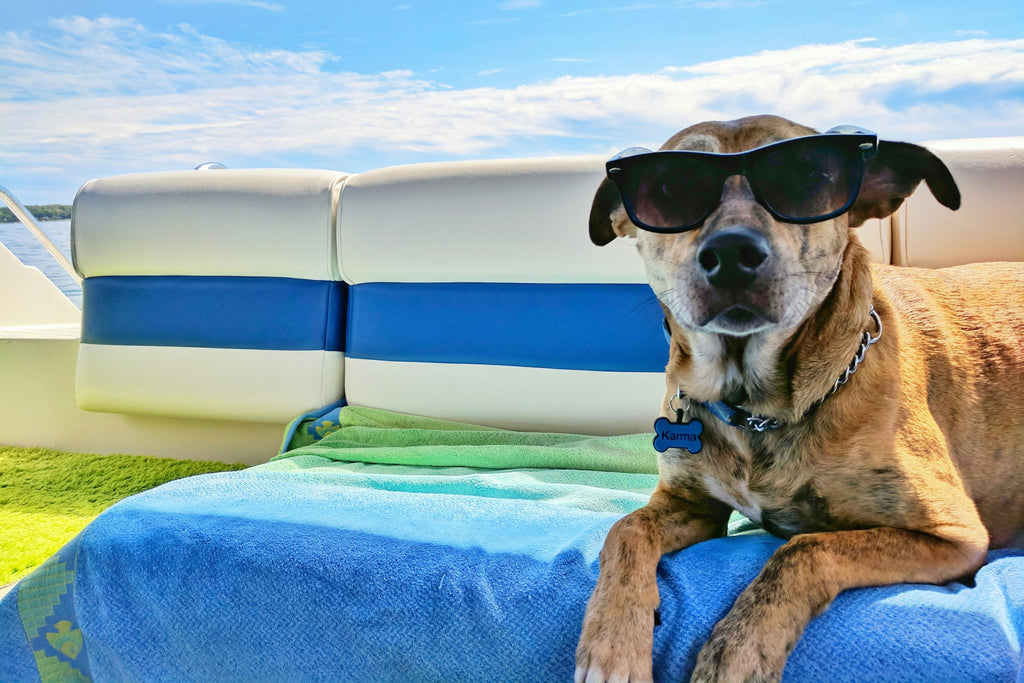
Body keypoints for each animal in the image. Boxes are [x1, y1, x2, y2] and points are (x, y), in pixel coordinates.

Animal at [573, 114, 1024, 679]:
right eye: (671, 187)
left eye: (806, 174)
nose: (731, 255)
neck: (755, 407)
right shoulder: (691, 505)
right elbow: (625, 529)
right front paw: (610, 643)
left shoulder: (954, 534)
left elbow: (804, 549)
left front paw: (737, 651)